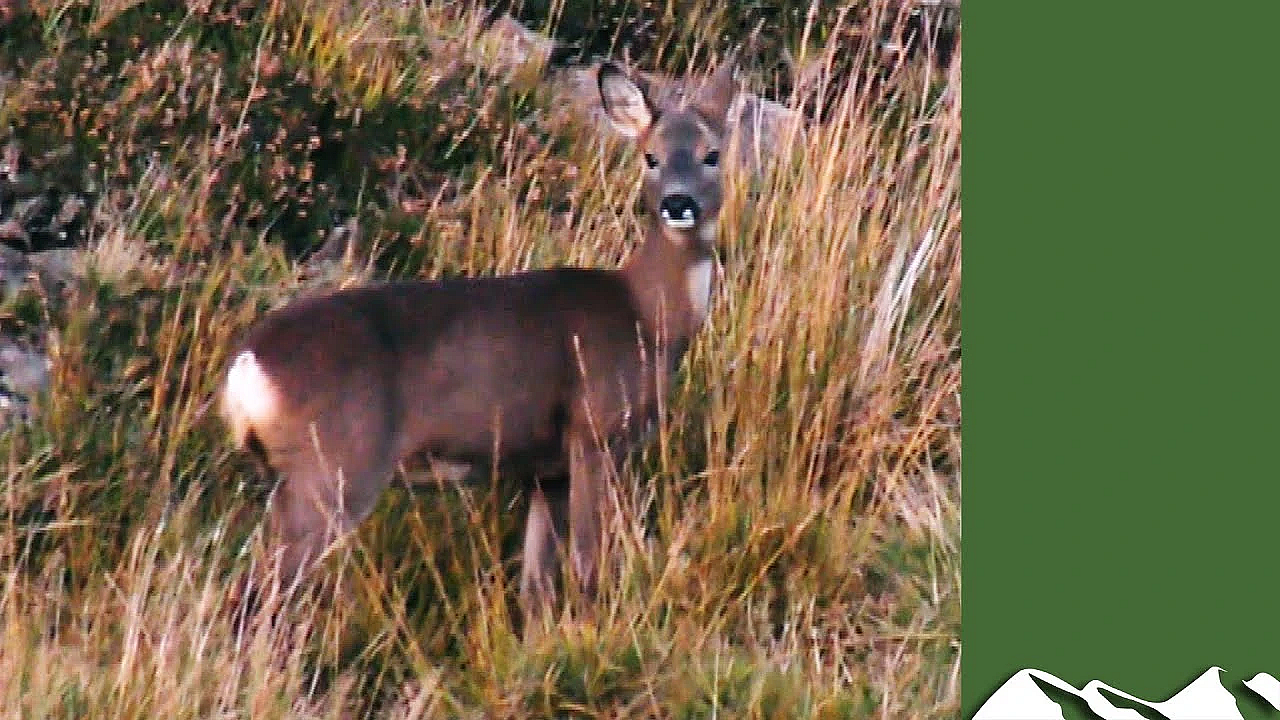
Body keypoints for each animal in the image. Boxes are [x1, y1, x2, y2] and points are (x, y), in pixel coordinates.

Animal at [220, 56, 735, 627]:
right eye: (651, 157)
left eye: (712, 154)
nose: (678, 203)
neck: (645, 318)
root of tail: (246, 365)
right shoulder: (594, 431)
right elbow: (587, 566)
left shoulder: (545, 469)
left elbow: (535, 587)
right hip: (334, 466)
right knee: (256, 595)